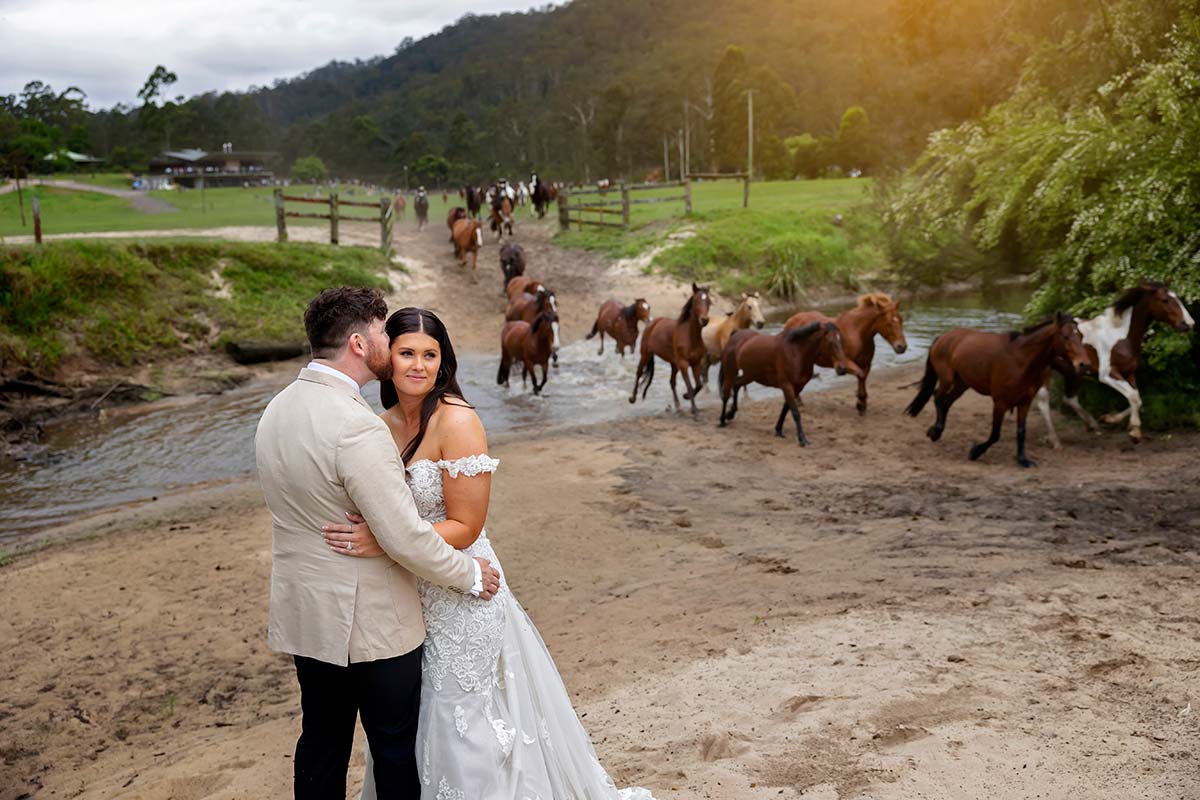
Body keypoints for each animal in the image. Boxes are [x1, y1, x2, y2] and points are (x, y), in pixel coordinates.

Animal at [633, 283, 705, 419]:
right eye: (696, 300)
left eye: (709, 301)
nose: (704, 319)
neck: (690, 336)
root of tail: (652, 323)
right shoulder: (684, 364)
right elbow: (689, 384)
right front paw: (694, 410)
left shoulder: (696, 363)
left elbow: (699, 385)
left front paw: (687, 397)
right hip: (645, 354)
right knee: (639, 372)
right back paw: (632, 398)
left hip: (673, 363)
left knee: (672, 382)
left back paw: (678, 407)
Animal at [710, 321, 854, 448]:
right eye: (831, 342)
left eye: (841, 341)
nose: (842, 369)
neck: (796, 352)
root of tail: (736, 333)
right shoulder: (787, 385)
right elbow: (795, 412)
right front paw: (802, 439)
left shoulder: (797, 387)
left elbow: (786, 408)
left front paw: (778, 430)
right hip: (730, 372)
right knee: (726, 394)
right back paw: (722, 420)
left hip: (750, 375)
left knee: (736, 385)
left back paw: (730, 414)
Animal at [902, 311, 1094, 470]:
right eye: (1065, 336)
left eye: (1081, 336)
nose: (1084, 365)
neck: (1020, 359)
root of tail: (943, 337)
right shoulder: (1000, 402)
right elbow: (995, 434)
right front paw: (975, 452)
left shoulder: (1024, 402)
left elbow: (1021, 432)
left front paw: (1023, 460)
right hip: (947, 379)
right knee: (938, 398)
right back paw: (935, 432)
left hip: (962, 384)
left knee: (946, 402)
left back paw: (937, 431)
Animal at [1036, 280, 1195, 443]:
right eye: (1165, 300)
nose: (1189, 323)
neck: (1121, 336)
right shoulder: (1108, 374)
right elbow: (1133, 396)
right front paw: (1134, 432)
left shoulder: (1129, 373)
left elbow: (1137, 398)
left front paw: (1109, 418)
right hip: (1046, 370)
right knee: (1043, 402)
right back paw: (1053, 439)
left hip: (1073, 372)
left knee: (1070, 398)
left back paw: (1092, 424)